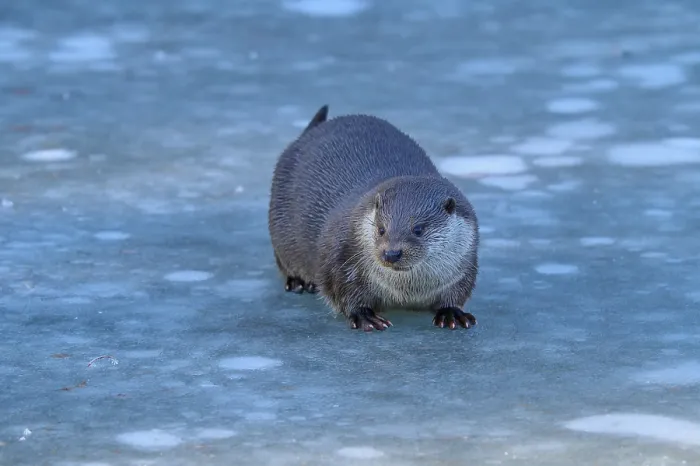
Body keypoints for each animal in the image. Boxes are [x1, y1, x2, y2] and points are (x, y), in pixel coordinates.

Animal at [268, 105, 479, 331]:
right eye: (381, 229)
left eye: (418, 229)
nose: (391, 253)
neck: (407, 290)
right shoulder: (340, 258)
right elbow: (342, 292)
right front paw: (364, 316)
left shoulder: (464, 267)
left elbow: (457, 292)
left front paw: (452, 312)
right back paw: (299, 283)